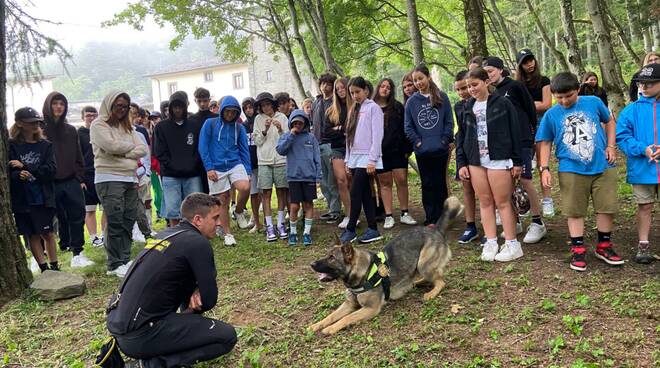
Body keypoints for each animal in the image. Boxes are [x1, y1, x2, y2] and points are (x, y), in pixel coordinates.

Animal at [310, 197, 464, 334]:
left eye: (332, 258)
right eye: (326, 255)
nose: (311, 264)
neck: (361, 272)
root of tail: (435, 229)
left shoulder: (370, 308)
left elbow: (346, 318)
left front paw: (330, 328)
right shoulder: (349, 304)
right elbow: (331, 315)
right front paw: (317, 324)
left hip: (423, 264)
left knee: (441, 282)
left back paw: (431, 293)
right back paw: (416, 283)